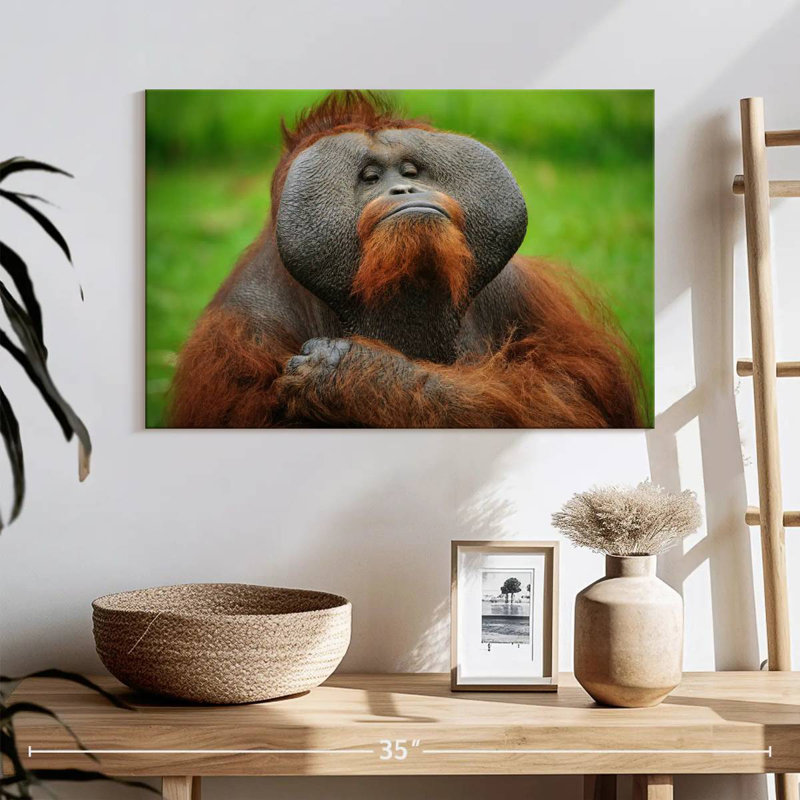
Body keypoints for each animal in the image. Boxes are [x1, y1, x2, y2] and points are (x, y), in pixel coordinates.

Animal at [168, 92, 646, 429]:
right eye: (370, 178)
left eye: (411, 171)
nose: (405, 189)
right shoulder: (239, 333)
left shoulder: (526, 296)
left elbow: (572, 399)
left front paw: (359, 377)